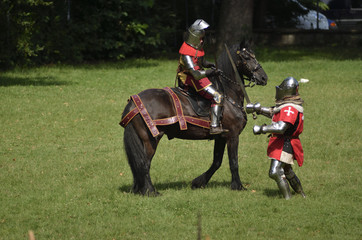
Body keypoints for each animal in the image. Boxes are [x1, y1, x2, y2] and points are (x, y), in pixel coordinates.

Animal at [120, 44, 268, 196]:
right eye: (247, 58)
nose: (264, 77)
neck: (228, 95)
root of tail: (134, 102)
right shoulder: (232, 136)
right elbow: (233, 162)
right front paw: (238, 186)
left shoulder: (220, 137)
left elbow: (217, 161)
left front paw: (199, 182)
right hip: (151, 139)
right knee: (144, 163)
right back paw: (150, 191)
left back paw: (138, 189)